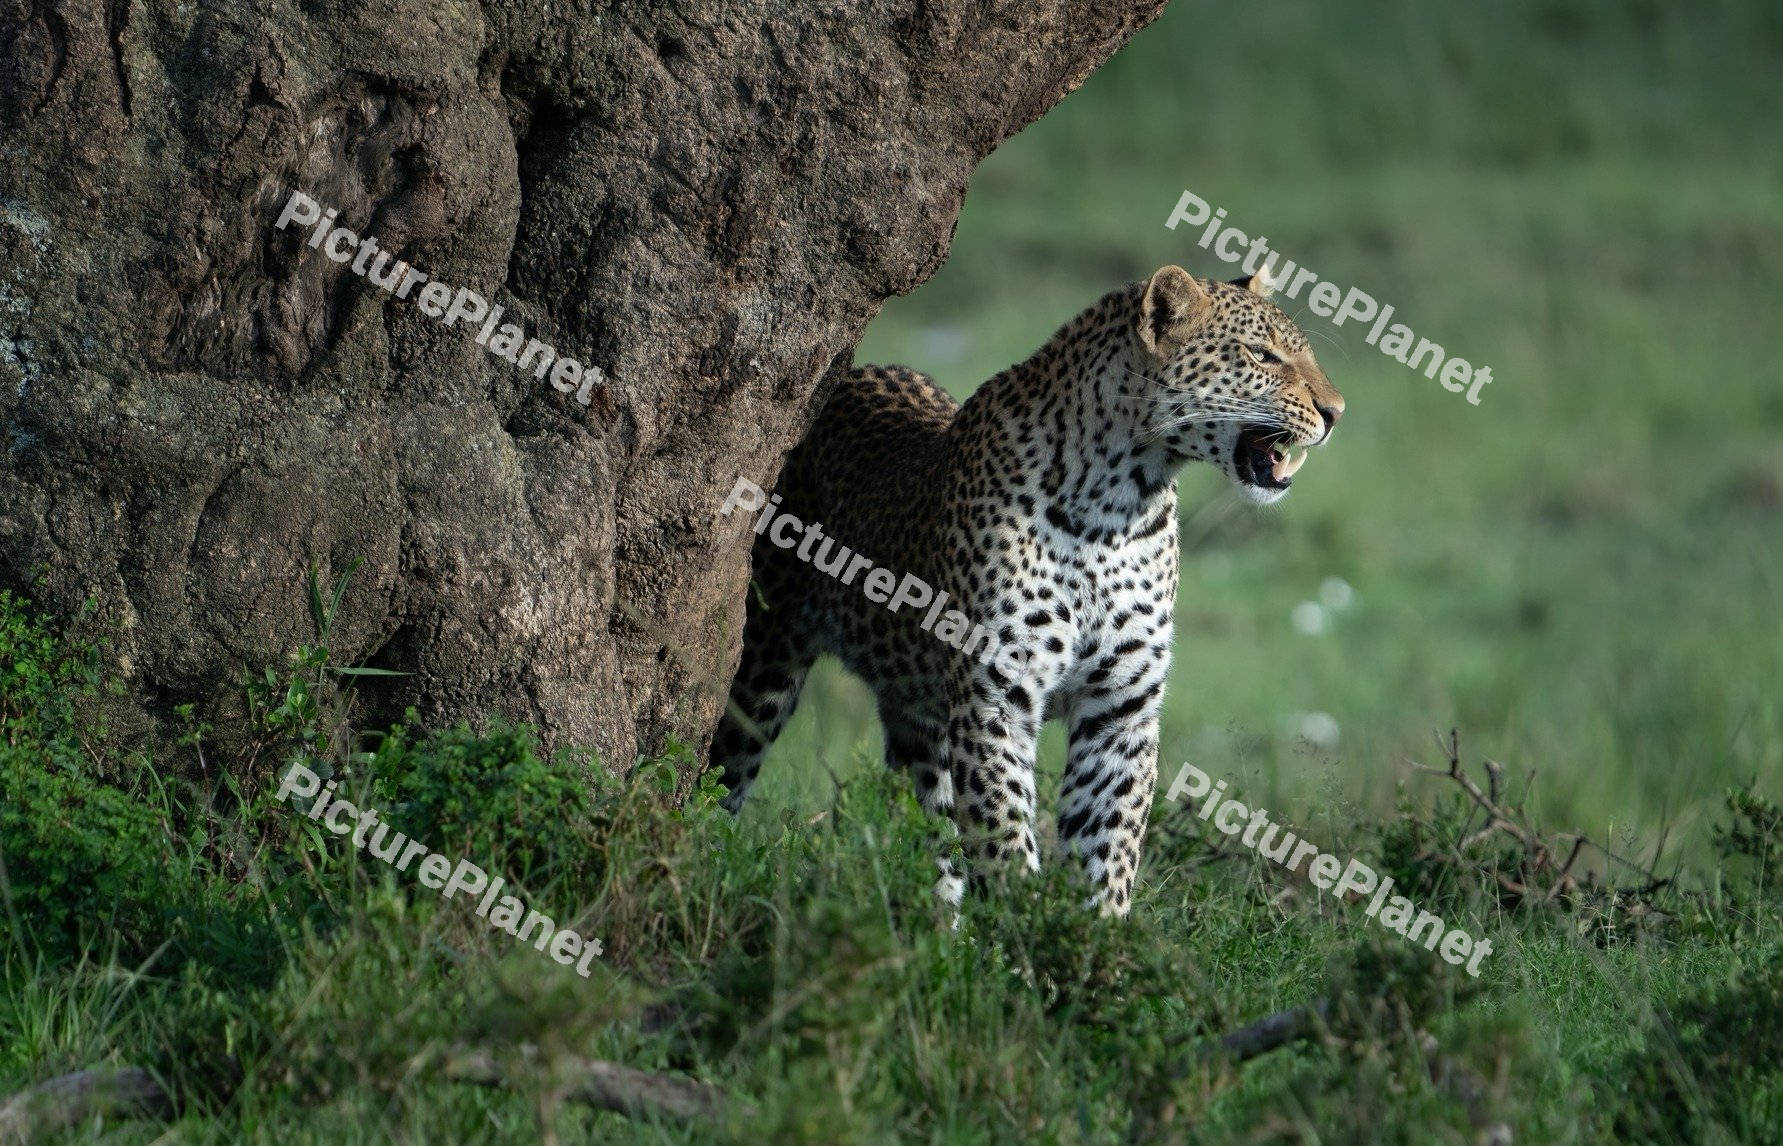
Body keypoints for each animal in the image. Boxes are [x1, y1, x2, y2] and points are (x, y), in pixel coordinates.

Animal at [708, 265, 1344, 916]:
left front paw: (1094, 938)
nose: (1335, 411)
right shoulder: (997, 697)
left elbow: (1107, 846)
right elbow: (1004, 835)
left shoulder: (1122, 710)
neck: (1118, 505)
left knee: (930, 829)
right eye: (1262, 355)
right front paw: (1023, 929)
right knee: (721, 778)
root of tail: (850, 374)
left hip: (920, 716)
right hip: (762, 670)